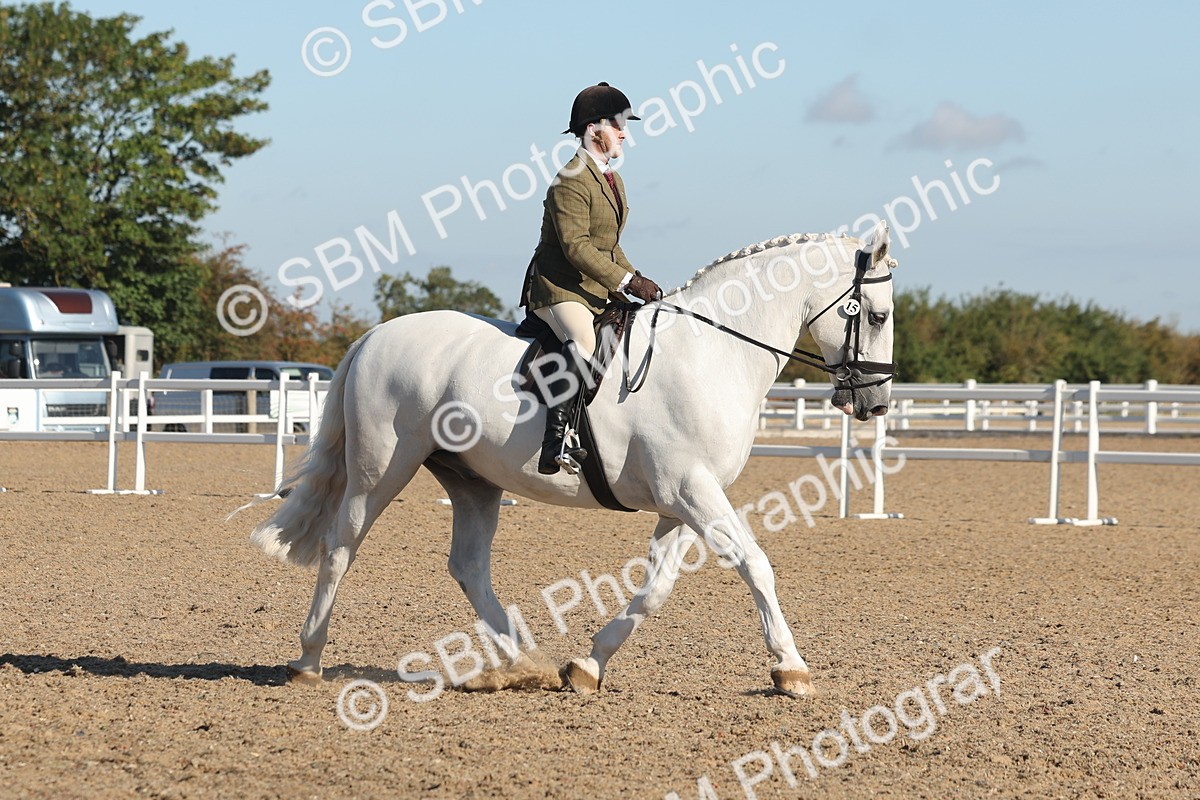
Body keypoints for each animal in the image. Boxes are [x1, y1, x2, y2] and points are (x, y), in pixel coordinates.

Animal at [248, 221, 898, 697]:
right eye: (878, 315)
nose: (875, 402)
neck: (713, 352)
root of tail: (375, 335)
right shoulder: (691, 489)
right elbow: (755, 564)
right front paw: (791, 669)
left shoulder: (682, 499)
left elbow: (656, 589)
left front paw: (587, 667)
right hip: (381, 469)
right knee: (341, 546)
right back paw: (308, 660)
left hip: (472, 481)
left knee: (468, 566)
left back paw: (524, 661)